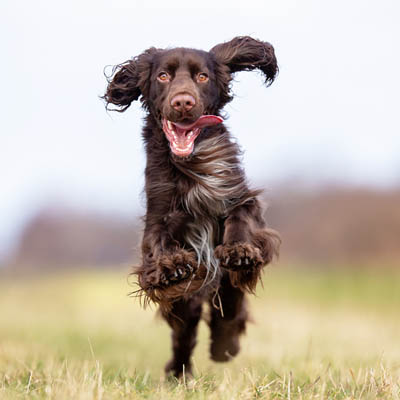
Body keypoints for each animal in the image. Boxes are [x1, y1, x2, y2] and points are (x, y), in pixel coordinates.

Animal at [101, 36, 280, 378]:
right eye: (162, 76)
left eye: (202, 77)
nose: (183, 102)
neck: (191, 164)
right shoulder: (158, 215)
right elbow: (158, 244)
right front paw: (171, 265)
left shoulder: (239, 195)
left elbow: (241, 219)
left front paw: (239, 250)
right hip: (188, 303)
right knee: (185, 331)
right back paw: (177, 372)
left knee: (230, 304)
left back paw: (224, 346)